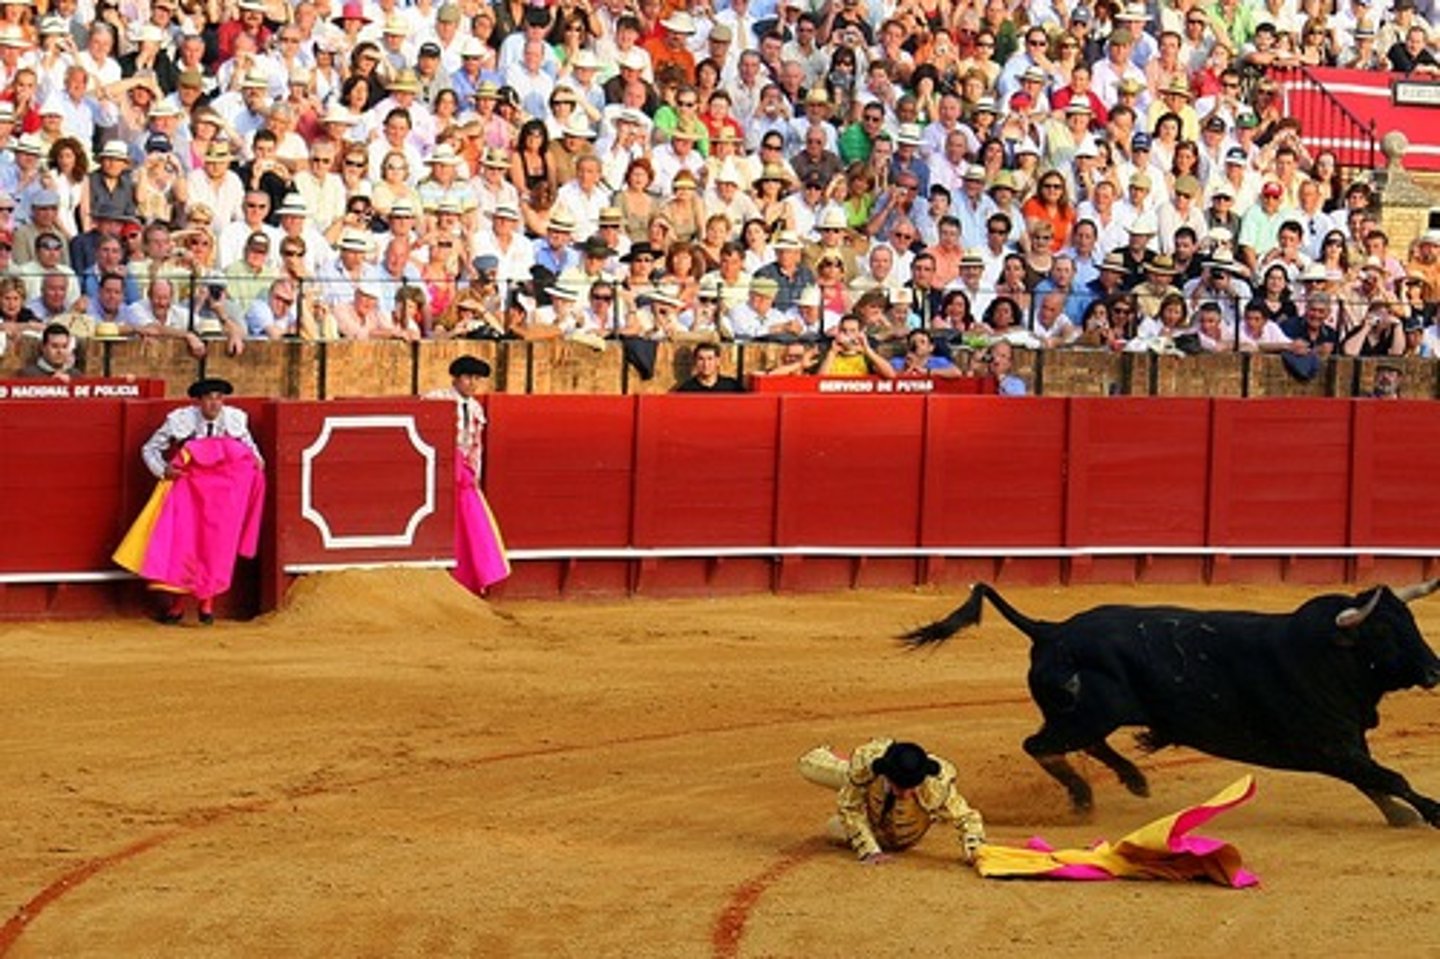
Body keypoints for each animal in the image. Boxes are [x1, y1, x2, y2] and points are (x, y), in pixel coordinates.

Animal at [902, 581, 1440, 827]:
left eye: (1410, 620)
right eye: (1384, 629)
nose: (1435, 670)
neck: (1326, 655)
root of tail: (1049, 630)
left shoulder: (1343, 744)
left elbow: (1374, 780)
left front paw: (1401, 815)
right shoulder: (1328, 744)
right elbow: (1389, 776)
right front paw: (1428, 812)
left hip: (1083, 714)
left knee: (1082, 744)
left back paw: (1133, 780)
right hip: (1083, 713)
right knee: (1041, 745)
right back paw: (1083, 796)